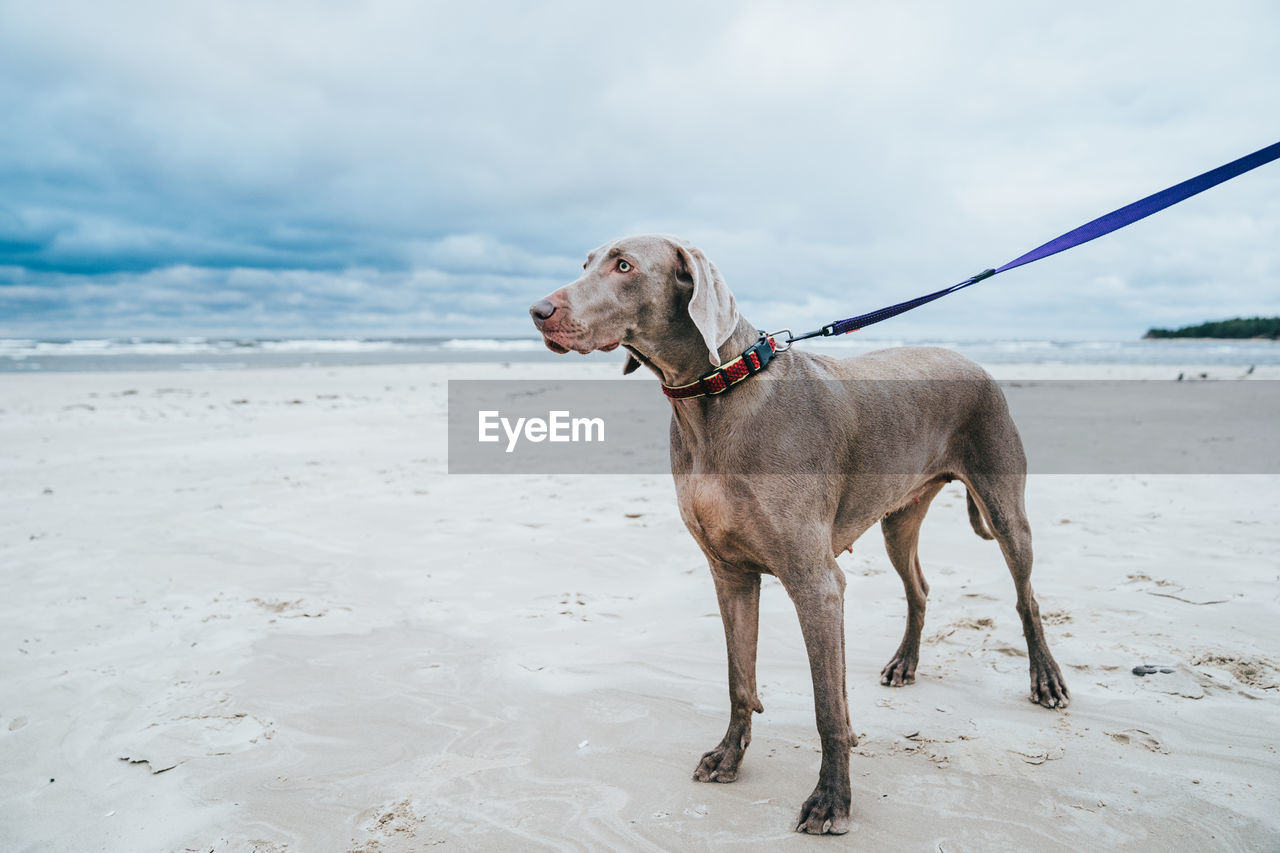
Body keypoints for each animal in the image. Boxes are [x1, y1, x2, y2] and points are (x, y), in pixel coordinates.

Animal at [524, 235, 1064, 835]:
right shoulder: (730, 574)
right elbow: (739, 680)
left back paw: (1045, 680)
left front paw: (831, 800)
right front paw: (728, 756)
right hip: (898, 516)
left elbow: (829, 707)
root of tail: (970, 360)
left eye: (624, 266)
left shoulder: (816, 583)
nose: (538, 312)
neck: (716, 396)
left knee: (1026, 597)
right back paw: (904, 663)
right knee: (918, 589)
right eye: (585, 263)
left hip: (1003, 502)